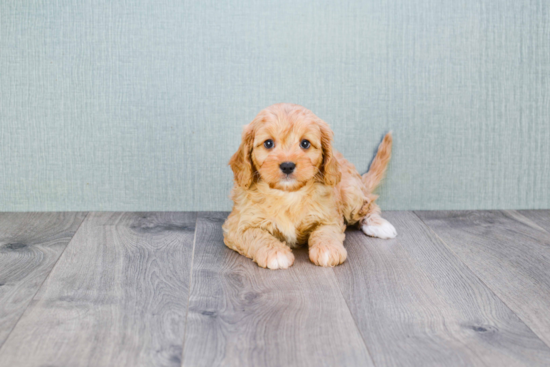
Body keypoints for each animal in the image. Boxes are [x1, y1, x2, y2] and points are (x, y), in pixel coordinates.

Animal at [222, 103, 398, 270]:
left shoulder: (330, 216)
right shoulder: (237, 225)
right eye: (268, 143)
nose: (287, 166)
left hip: (350, 192)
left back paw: (379, 225)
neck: (288, 195)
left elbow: (325, 231)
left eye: (305, 143)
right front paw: (275, 253)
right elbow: (256, 235)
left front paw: (328, 249)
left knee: (368, 205)